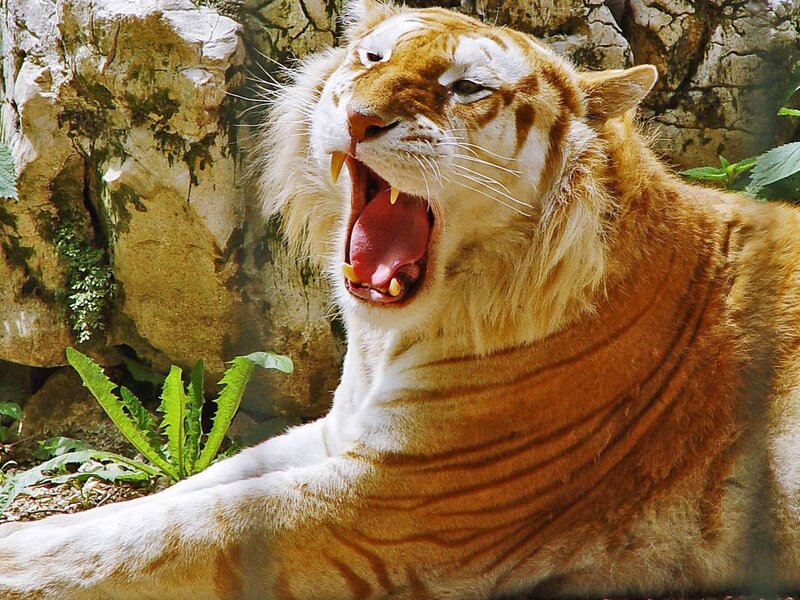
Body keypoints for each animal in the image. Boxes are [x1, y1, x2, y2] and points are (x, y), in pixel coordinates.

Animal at [2, 0, 800, 598]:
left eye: (467, 88)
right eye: (372, 59)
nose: (359, 118)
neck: (387, 337)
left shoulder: (395, 501)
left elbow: (172, 533)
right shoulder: (340, 436)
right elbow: (184, 493)